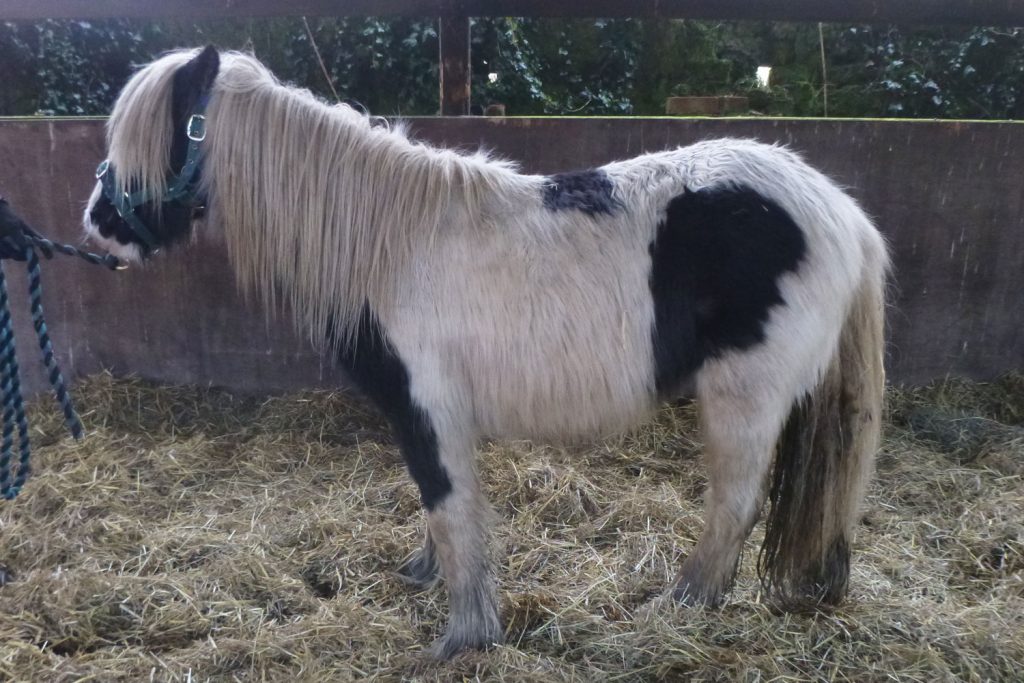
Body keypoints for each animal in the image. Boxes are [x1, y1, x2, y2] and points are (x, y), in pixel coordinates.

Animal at [83, 45, 888, 659]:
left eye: (152, 144)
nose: (97, 229)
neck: (389, 245)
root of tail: (839, 212)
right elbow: (439, 508)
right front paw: (425, 576)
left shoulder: (427, 412)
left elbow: (451, 508)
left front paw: (463, 635)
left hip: (745, 399)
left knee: (736, 505)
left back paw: (683, 601)